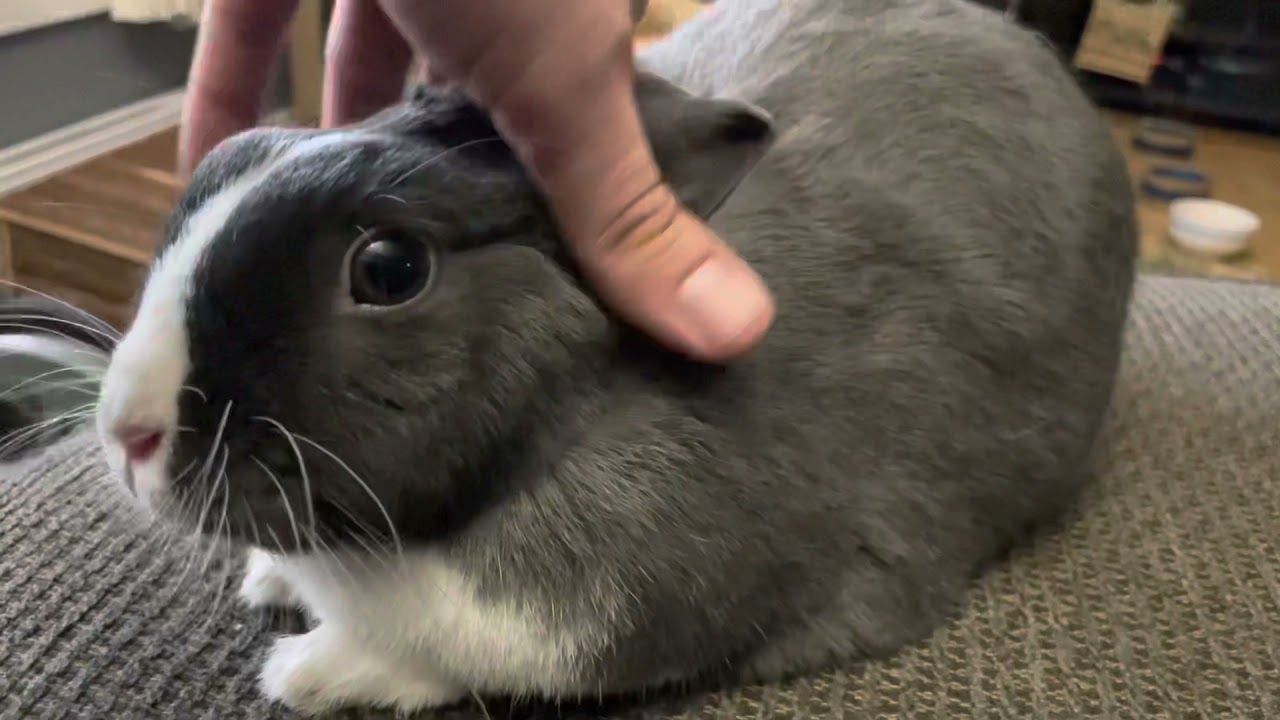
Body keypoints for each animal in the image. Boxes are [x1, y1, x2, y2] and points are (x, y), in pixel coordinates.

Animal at [93, 0, 1137, 715]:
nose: (124, 432)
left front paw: (304, 672)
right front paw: (270, 585)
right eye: (232, 157)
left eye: (390, 269)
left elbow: (433, 659)